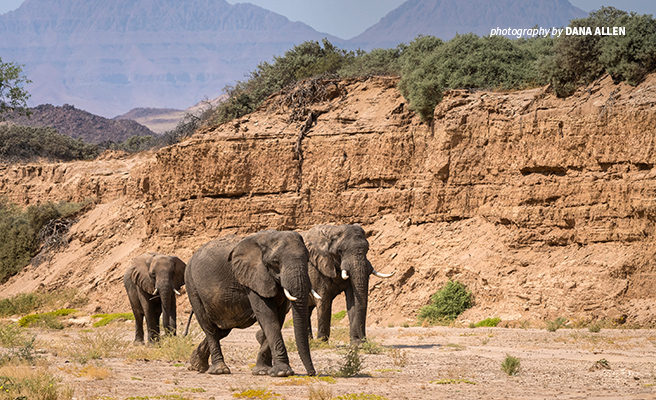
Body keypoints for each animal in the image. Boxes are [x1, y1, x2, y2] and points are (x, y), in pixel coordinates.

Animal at [184, 230, 318, 376]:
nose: (312, 373)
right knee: (210, 329)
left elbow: (278, 317)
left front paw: (263, 371)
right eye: (275, 262)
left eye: (307, 259)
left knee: (223, 329)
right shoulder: (253, 276)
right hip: (192, 286)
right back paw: (219, 370)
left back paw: (197, 365)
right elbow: (267, 315)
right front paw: (283, 373)